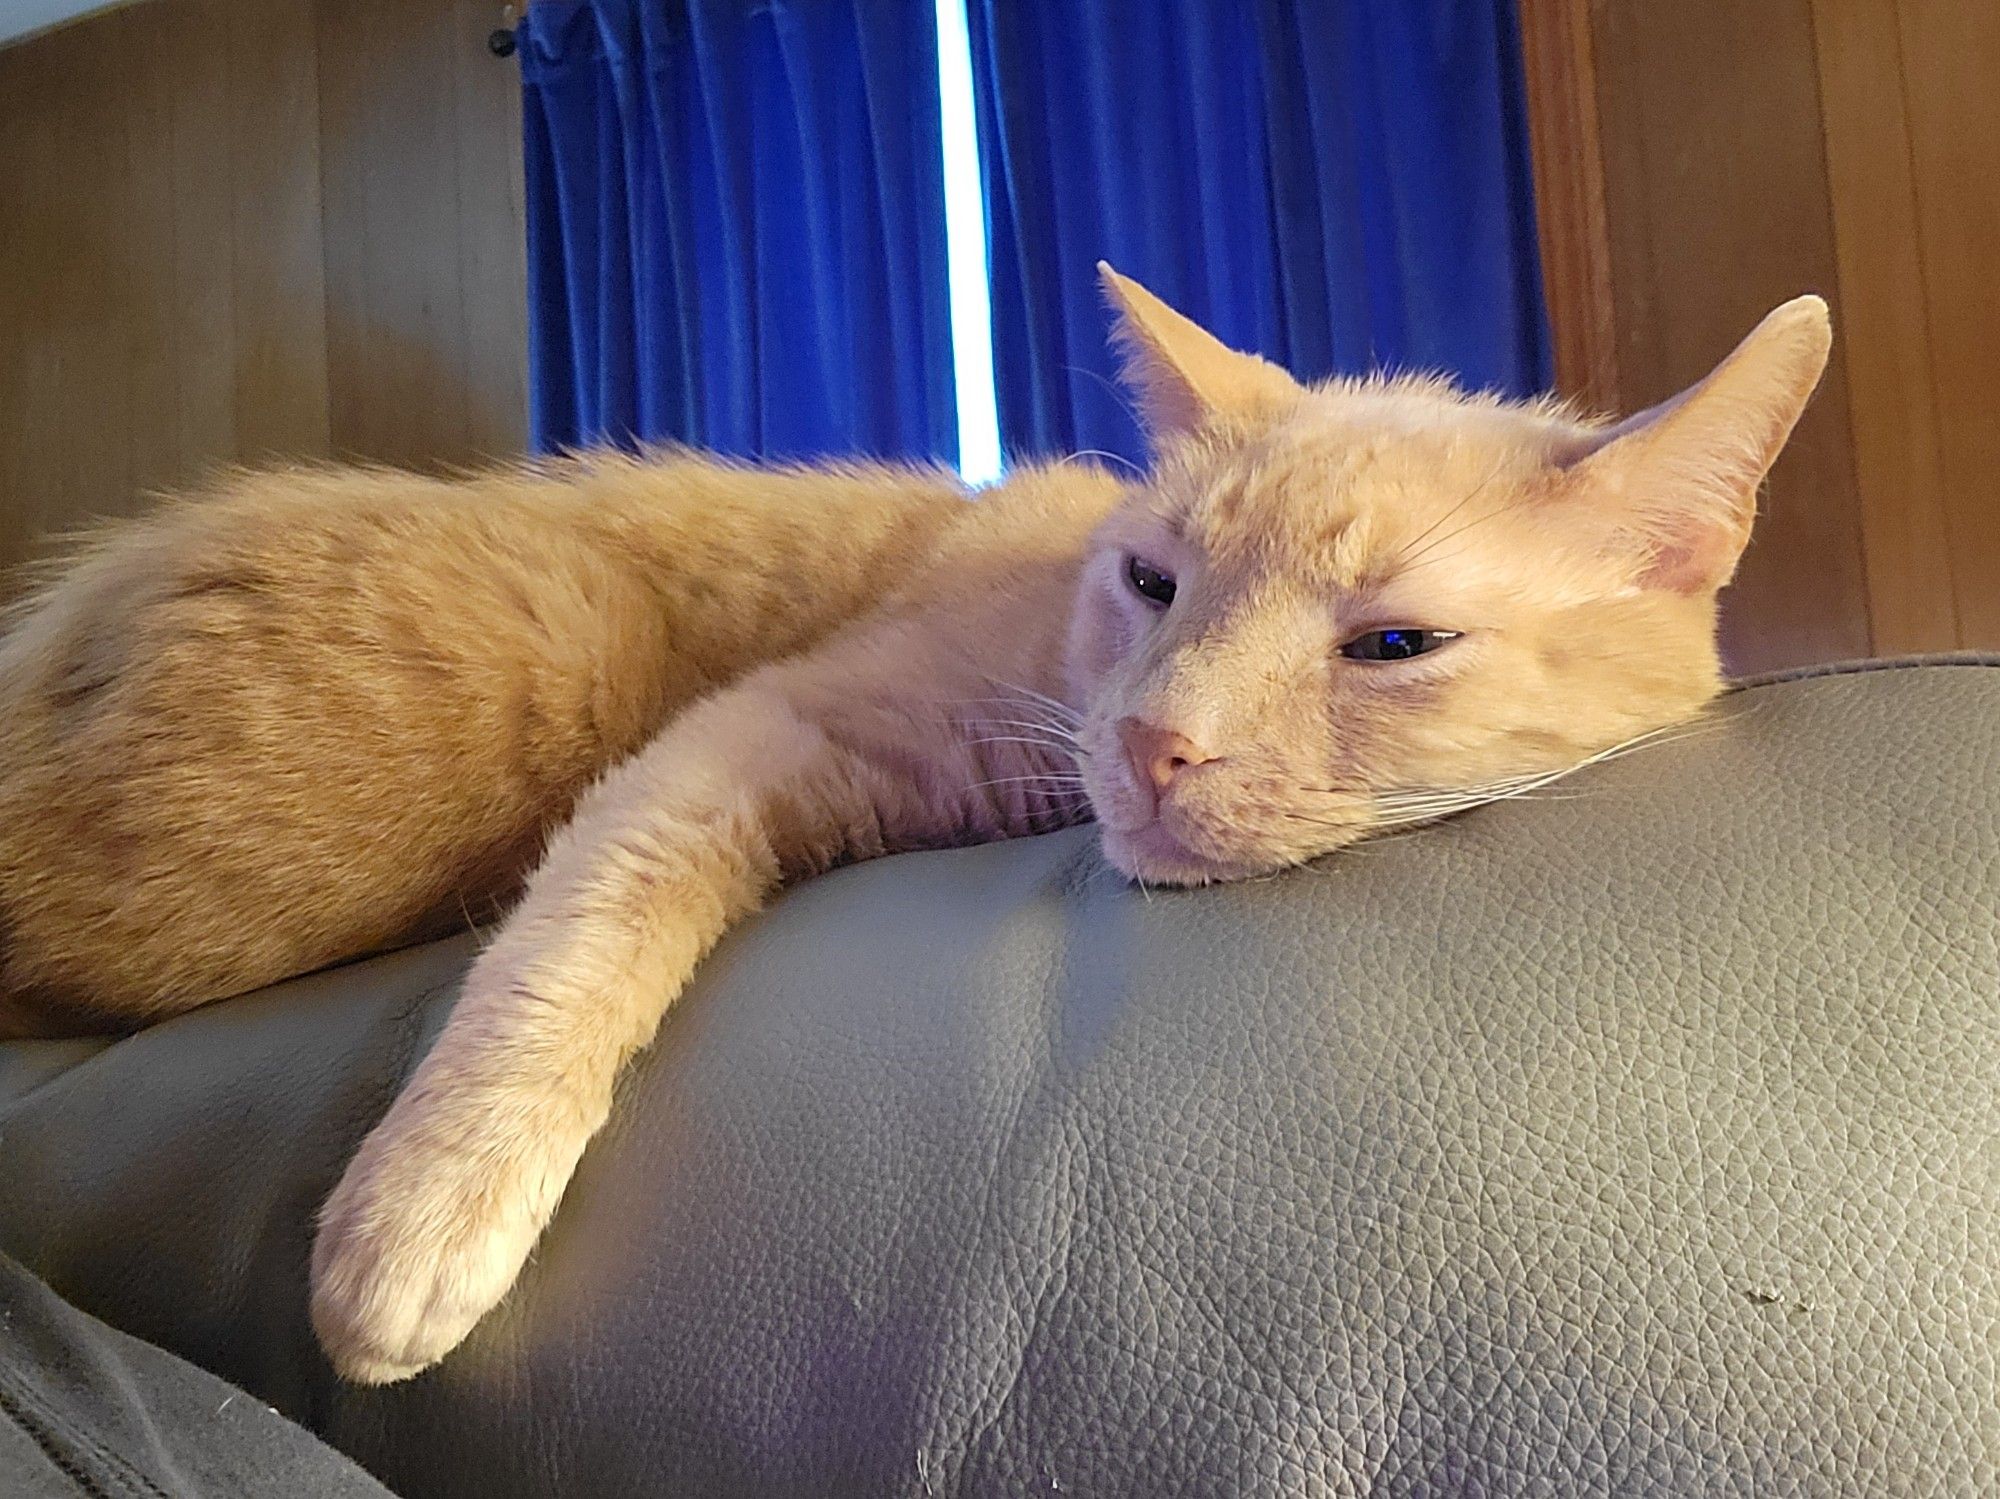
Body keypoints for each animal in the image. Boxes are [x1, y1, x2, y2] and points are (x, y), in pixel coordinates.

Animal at [0, 267, 1832, 1383]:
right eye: (1152, 582)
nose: (1155, 741)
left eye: (1391, 645)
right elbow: (565, 948)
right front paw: (426, 1206)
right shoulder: (745, 736)